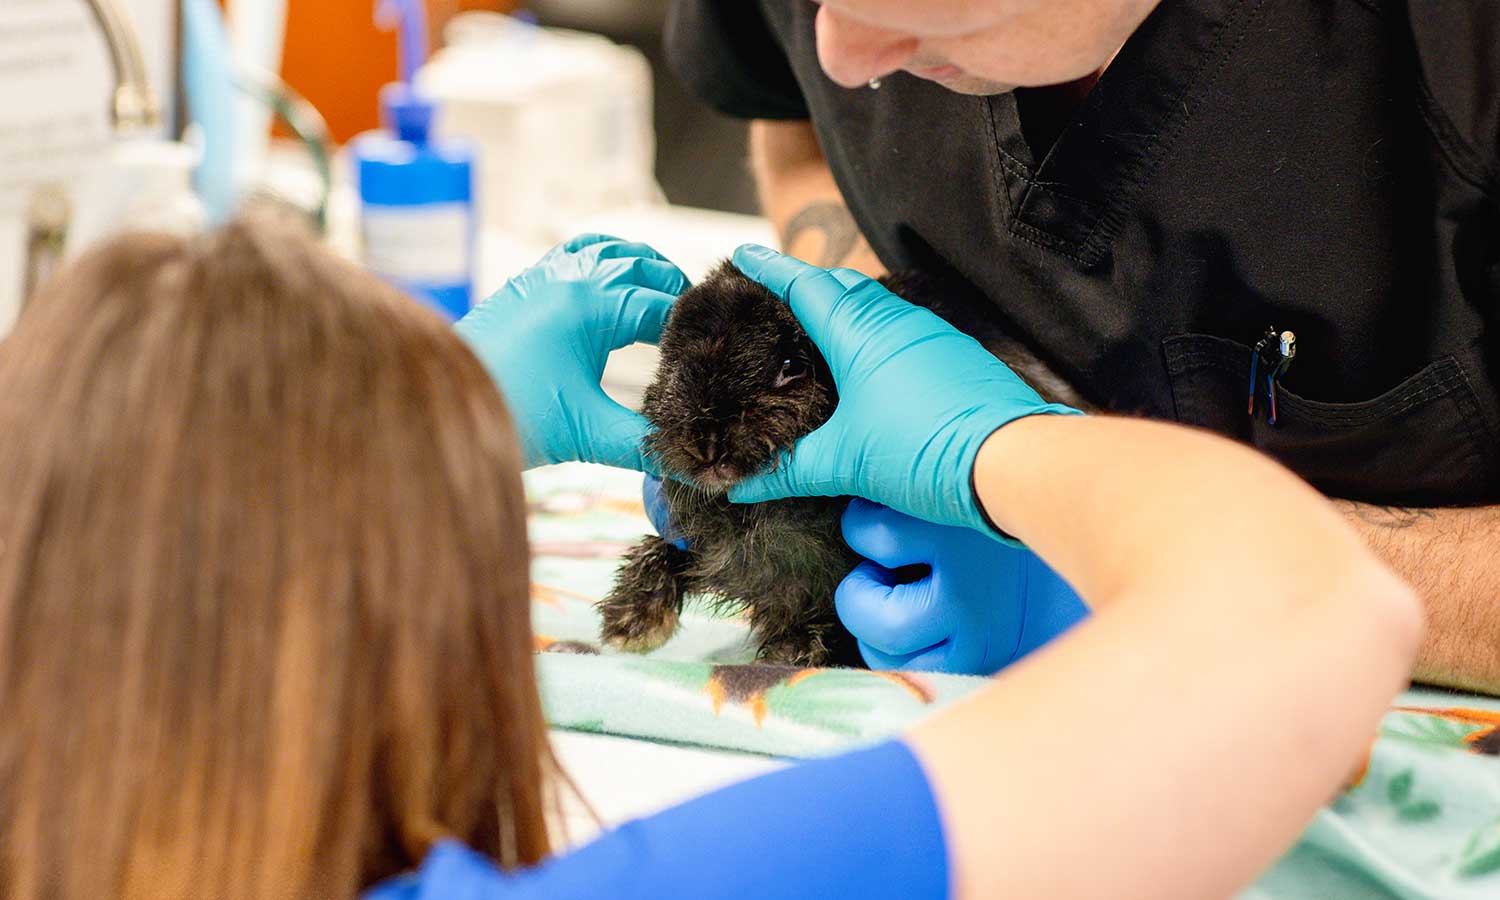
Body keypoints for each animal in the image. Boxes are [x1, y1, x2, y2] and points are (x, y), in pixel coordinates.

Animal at [600, 259, 1092, 669]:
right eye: (671, 363)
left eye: (792, 366)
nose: (705, 445)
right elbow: (665, 550)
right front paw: (629, 622)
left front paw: (793, 648)